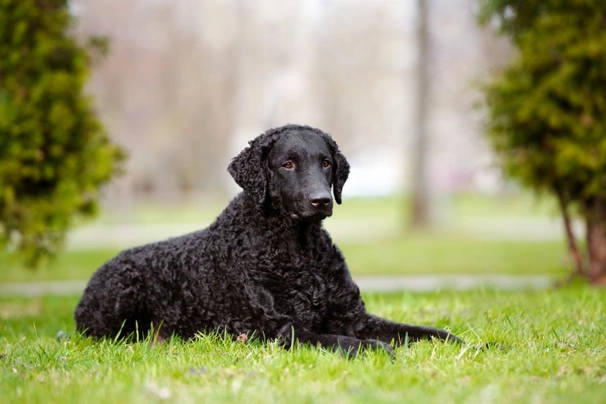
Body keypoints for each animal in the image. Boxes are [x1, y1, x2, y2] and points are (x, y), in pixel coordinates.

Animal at [77, 123, 466, 354]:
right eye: (287, 164)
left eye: (326, 163)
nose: (321, 200)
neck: (300, 252)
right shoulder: (281, 329)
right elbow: (342, 339)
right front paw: (378, 349)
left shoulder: (356, 318)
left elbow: (426, 332)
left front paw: (472, 346)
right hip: (121, 296)